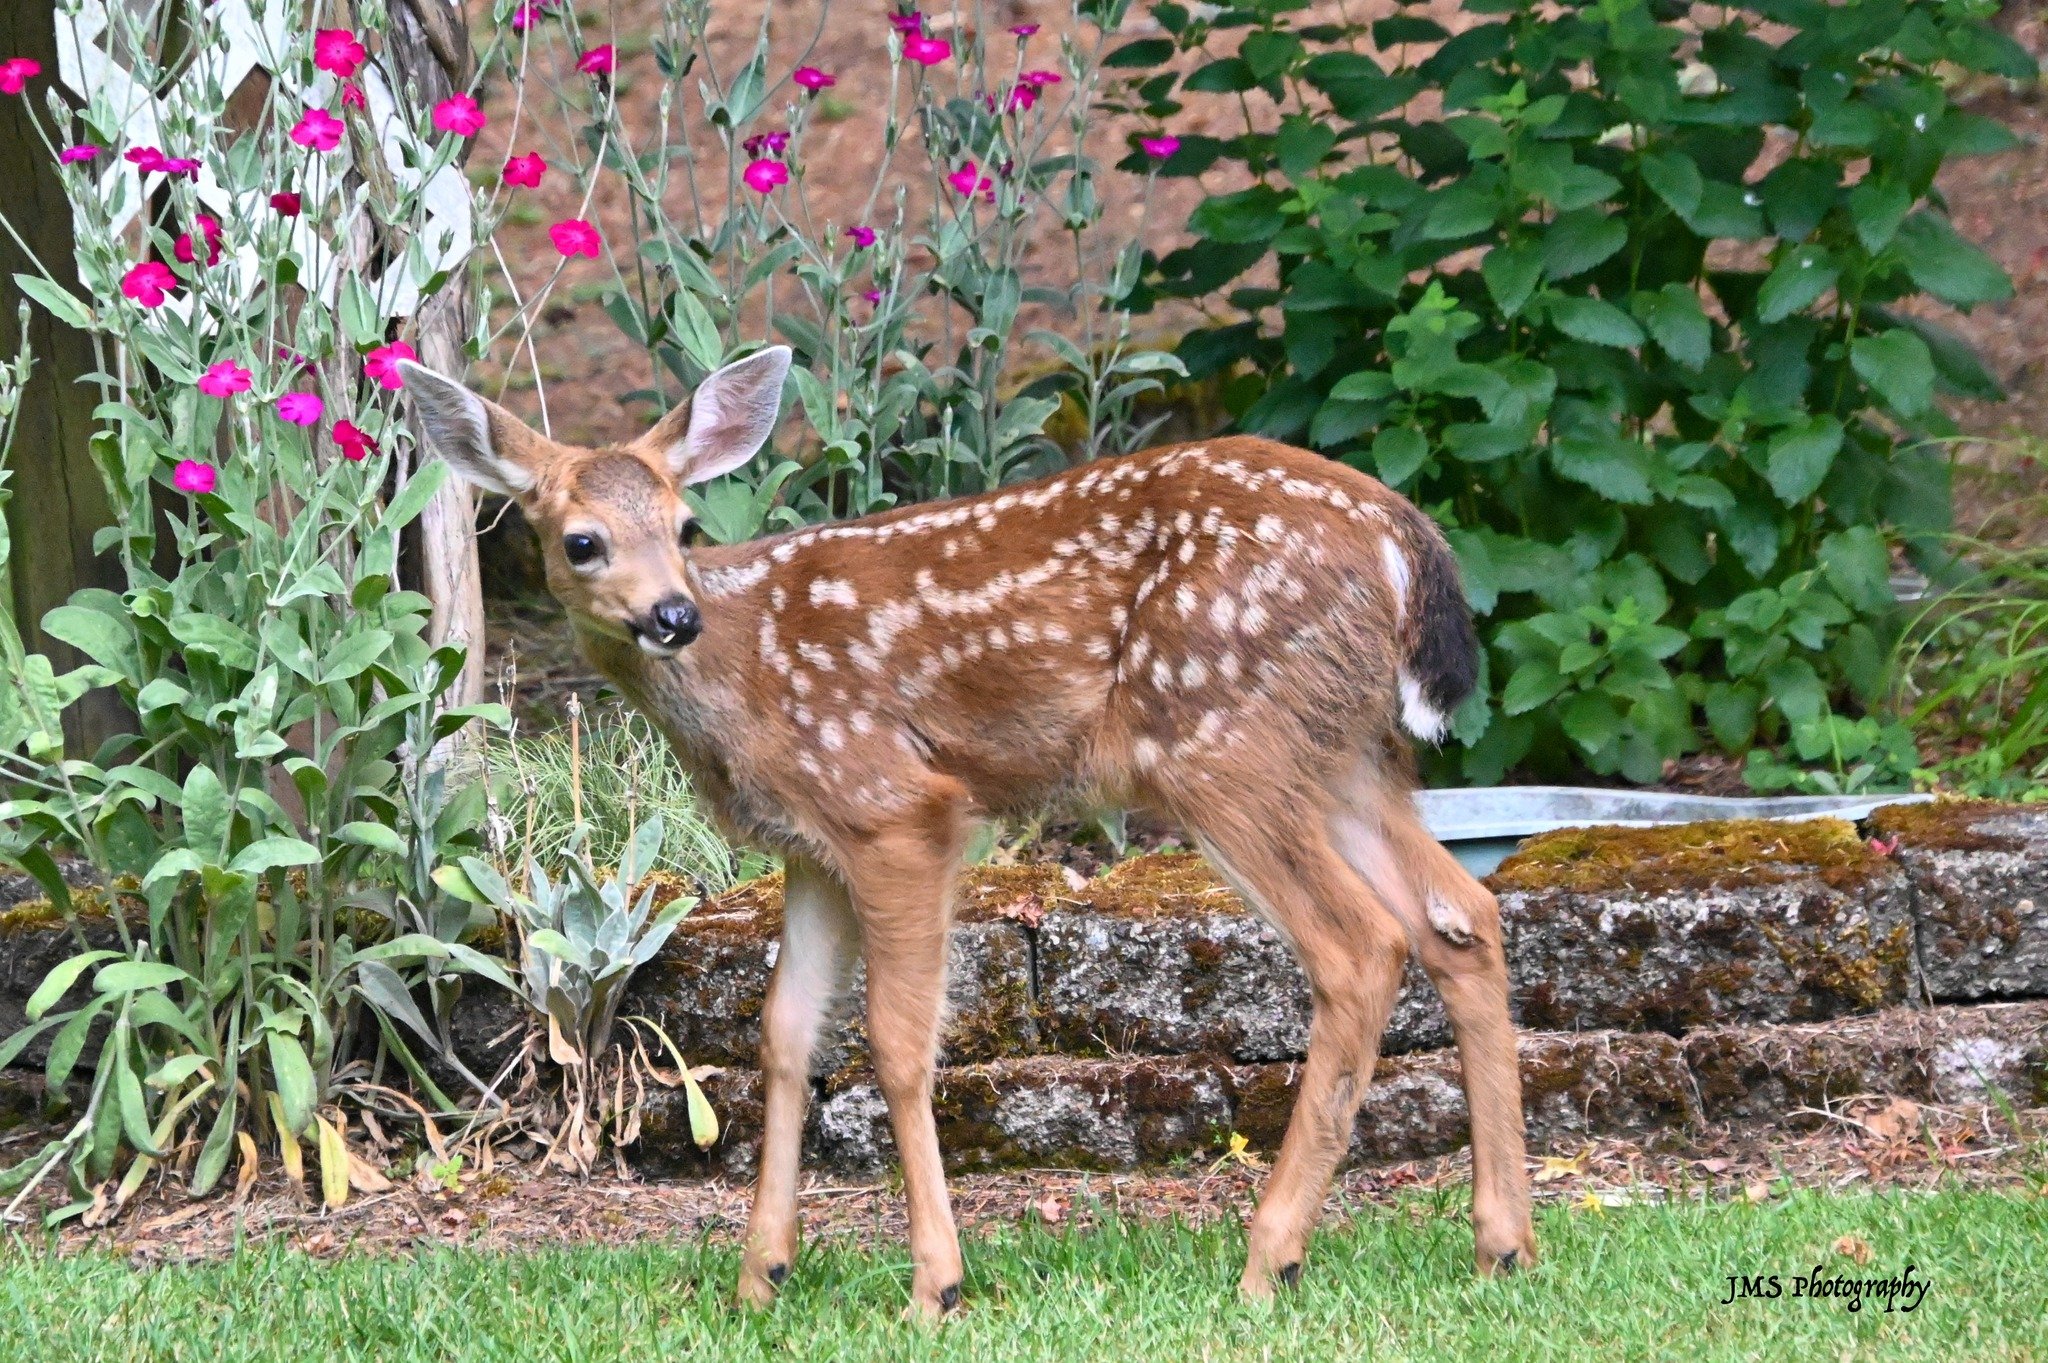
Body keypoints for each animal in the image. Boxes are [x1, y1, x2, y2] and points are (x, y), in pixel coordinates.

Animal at [397, 347, 1537, 1317]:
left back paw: (1271, 1258)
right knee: (1461, 915)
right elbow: (784, 1037)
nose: (674, 615)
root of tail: (1402, 538)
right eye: (583, 541)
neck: (747, 680)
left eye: (683, 527)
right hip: (1343, 754)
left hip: (1222, 742)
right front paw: (760, 1278)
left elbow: (899, 1044)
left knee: (1360, 945)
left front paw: (934, 1285)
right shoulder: (810, 846)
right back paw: (1501, 1244)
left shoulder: (895, 805)